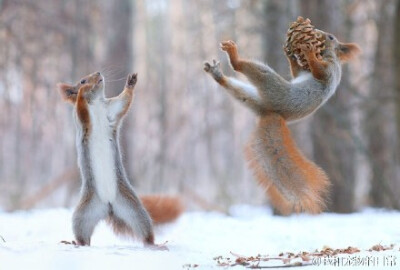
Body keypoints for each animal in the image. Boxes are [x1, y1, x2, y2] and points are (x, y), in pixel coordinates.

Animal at [57, 72, 183, 247]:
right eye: (82, 80)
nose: (98, 74)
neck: (96, 103)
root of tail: (108, 206)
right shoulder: (81, 119)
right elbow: (81, 108)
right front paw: (82, 91)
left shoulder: (112, 110)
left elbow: (124, 101)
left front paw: (131, 82)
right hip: (83, 214)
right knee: (83, 236)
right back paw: (75, 243)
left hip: (133, 209)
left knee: (144, 230)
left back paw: (155, 244)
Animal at [205, 26, 360, 213]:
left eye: (330, 37)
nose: (318, 31)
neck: (327, 55)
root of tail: (271, 113)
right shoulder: (306, 71)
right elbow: (297, 72)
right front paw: (291, 56)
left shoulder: (330, 71)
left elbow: (319, 71)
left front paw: (309, 53)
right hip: (252, 98)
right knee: (237, 90)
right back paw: (217, 74)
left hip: (272, 86)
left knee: (244, 68)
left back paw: (234, 56)